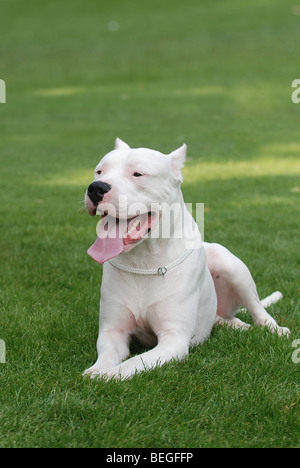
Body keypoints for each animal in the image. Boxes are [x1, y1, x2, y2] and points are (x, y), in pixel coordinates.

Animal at [83, 139, 290, 380]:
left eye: (137, 174)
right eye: (99, 171)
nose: (96, 187)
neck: (144, 259)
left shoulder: (173, 340)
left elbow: (133, 363)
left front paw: (106, 376)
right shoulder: (112, 331)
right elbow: (108, 356)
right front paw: (95, 371)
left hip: (231, 266)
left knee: (258, 309)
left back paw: (274, 329)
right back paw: (238, 326)